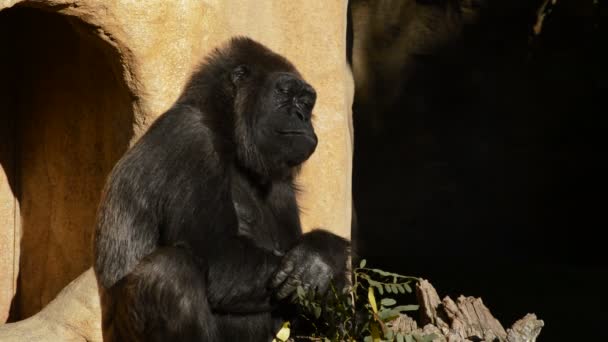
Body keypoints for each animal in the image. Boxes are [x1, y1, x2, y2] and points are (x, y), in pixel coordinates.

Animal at [95, 36, 352, 340]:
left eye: (306, 100)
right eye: (284, 92)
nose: (301, 115)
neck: (226, 131)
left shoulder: (281, 179)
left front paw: (322, 256)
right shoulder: (192, 137)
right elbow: (218, 256)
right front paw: (325, 257)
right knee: (168, 272)